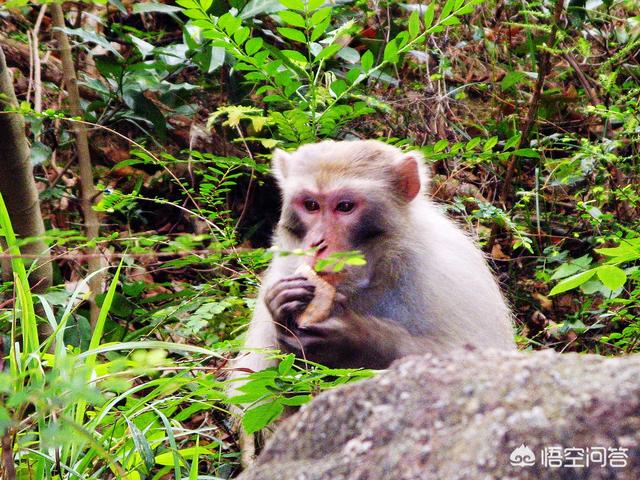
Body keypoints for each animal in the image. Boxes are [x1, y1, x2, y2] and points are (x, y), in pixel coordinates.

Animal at [230, 138, 516, 378]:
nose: (317, 244)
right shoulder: (284, 268)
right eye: (311, 205)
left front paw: (355, 341)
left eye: (345, 206)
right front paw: (282, 310)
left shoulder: (447, 272)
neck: (379, 270)